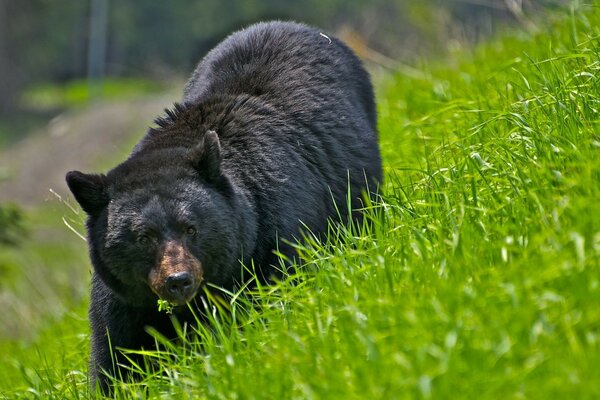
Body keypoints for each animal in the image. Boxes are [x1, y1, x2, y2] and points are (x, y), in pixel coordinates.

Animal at [65, 20, 382, 392]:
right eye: (143, 238)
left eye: (191, 228)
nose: (178, 281)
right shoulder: (124, 299)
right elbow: (116, 354)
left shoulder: (273, 238)